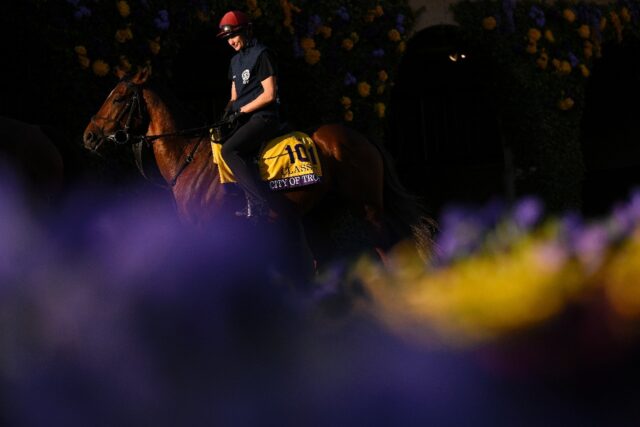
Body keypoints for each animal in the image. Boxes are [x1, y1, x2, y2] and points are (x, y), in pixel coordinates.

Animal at [79, 69, 430, 272]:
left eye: (119, 98)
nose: (89, 136)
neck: (188, 158)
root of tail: (360, 136)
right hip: (319, 215)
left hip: (367, 209)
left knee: (390, 249)